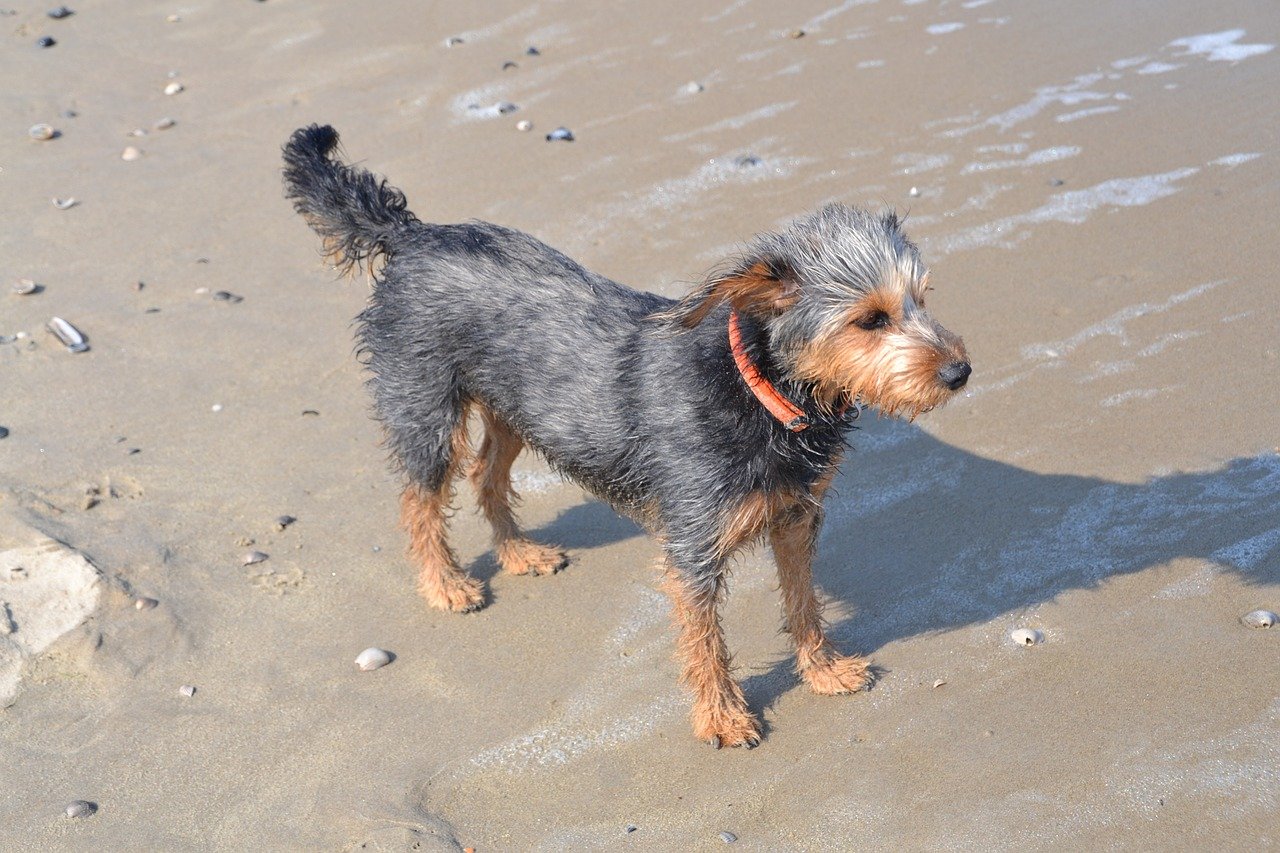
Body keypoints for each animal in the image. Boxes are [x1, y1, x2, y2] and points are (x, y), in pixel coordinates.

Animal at [285, 124, 972, 742]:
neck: (758, 393)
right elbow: (704, 640)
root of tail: (414, 235)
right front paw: (722, 717)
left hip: (520, 408)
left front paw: (823, 670)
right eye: (871, 320)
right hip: (426, 409)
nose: (960, 371)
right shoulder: (694, 542)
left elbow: (803, 604)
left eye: (922, 298)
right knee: (420, 499)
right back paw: (445, 583)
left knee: (485, 474)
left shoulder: (797, 516)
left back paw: (518, 552)